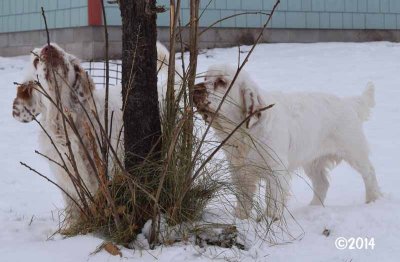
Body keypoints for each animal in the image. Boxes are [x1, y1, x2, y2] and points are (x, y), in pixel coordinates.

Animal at [194, 64, 382, 220]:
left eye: (221, 82)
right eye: (205, 77)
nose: (195, 89)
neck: (245, 132)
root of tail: (347, 102)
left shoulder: (275, 170)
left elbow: (272, 200)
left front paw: (270, 221)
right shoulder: (239, 169)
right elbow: (243, 198)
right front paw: (241, 218)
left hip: (354, 151)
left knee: (369, 172)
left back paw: (373, 200)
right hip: (312, 161)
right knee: (322, 184)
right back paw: (312, 209)